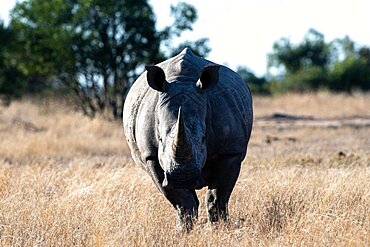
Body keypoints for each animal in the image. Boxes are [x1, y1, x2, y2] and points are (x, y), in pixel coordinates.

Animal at [123, 48, 253, 232]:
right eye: (160, 139)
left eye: (203, 140)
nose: (183, 178)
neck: (182, 80)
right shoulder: (151, 156)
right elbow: (182, 200)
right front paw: (182, 231)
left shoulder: (230, 151)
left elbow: (218, 195)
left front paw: (220, 229)